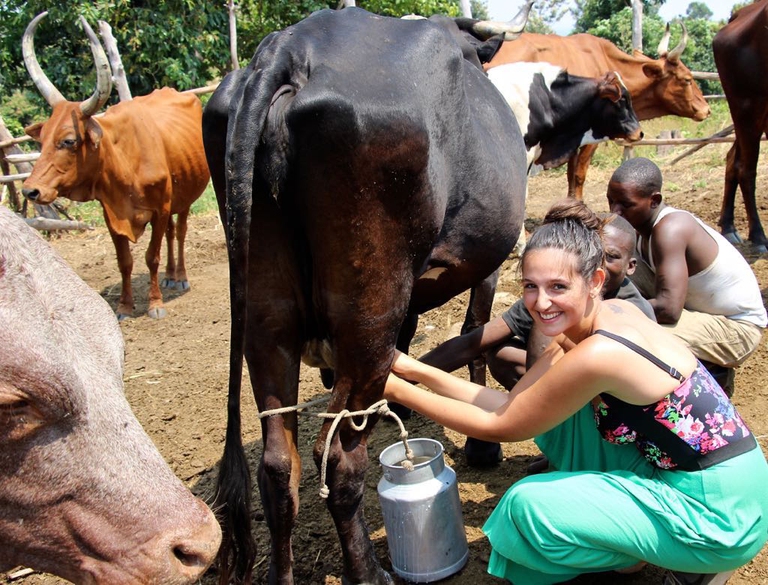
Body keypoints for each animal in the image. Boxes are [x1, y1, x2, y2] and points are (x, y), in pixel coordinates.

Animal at [21, 11, 210, 320]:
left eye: (69, 140)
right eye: (43, 138)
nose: (30, 191)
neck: (124, 163)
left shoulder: (159, 209)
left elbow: (151, 256)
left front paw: (155, 304)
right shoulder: (111, 213)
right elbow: (125, 261)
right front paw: (123, 306)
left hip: (184, 196)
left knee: (179, 231)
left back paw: (180, 276)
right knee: (171, 232)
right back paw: (170, 276)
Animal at [204, 6, 528, 580]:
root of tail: (291, 48)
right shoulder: (485, 264)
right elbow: (475, 332)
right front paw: (483, 446)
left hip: (266, 314)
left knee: (278, 465)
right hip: (369, 310)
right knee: (339, 461)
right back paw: (370, 572)